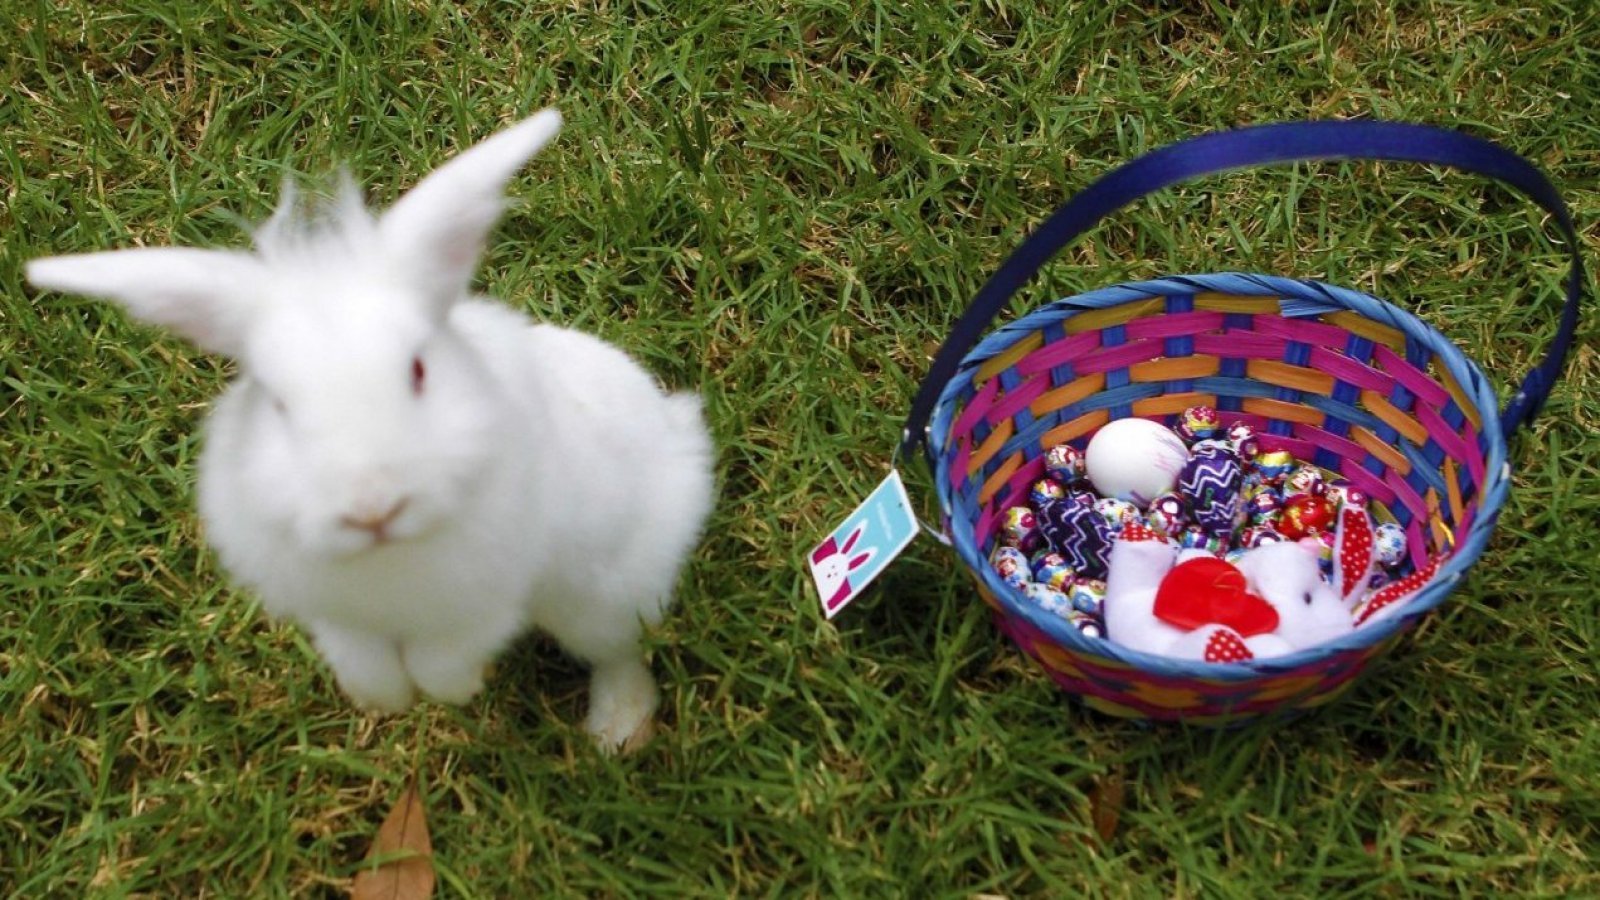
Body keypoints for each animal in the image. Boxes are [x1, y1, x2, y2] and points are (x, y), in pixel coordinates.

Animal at [23, 108, 713, 746]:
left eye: (418, 370)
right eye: (276, 402)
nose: (371, 508)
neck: (388, 557)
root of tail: (680, 432)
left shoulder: (488, 601)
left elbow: (446, 656)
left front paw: (451, 691)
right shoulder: (338, 617)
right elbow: (362, 659)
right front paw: (382, 699)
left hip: (605, 593)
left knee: (618, 651)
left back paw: (618, 734)